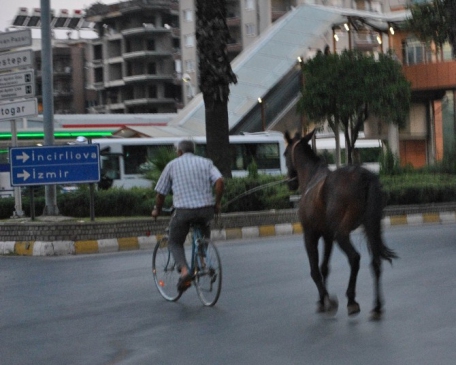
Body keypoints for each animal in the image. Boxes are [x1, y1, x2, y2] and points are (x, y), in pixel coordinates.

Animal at [284, 129, 398, 318]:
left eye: (285, 153)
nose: (290, 182)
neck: (312, 177)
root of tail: (365, 176)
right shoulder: (327, 236)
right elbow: (324, 267)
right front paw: (322, 300)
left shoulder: (310, 234)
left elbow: (315, 270)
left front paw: (326, 299)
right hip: (371, 226)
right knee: (375, 261)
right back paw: (377, 305)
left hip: (341, 232)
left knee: (354, 258)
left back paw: (352, 300)